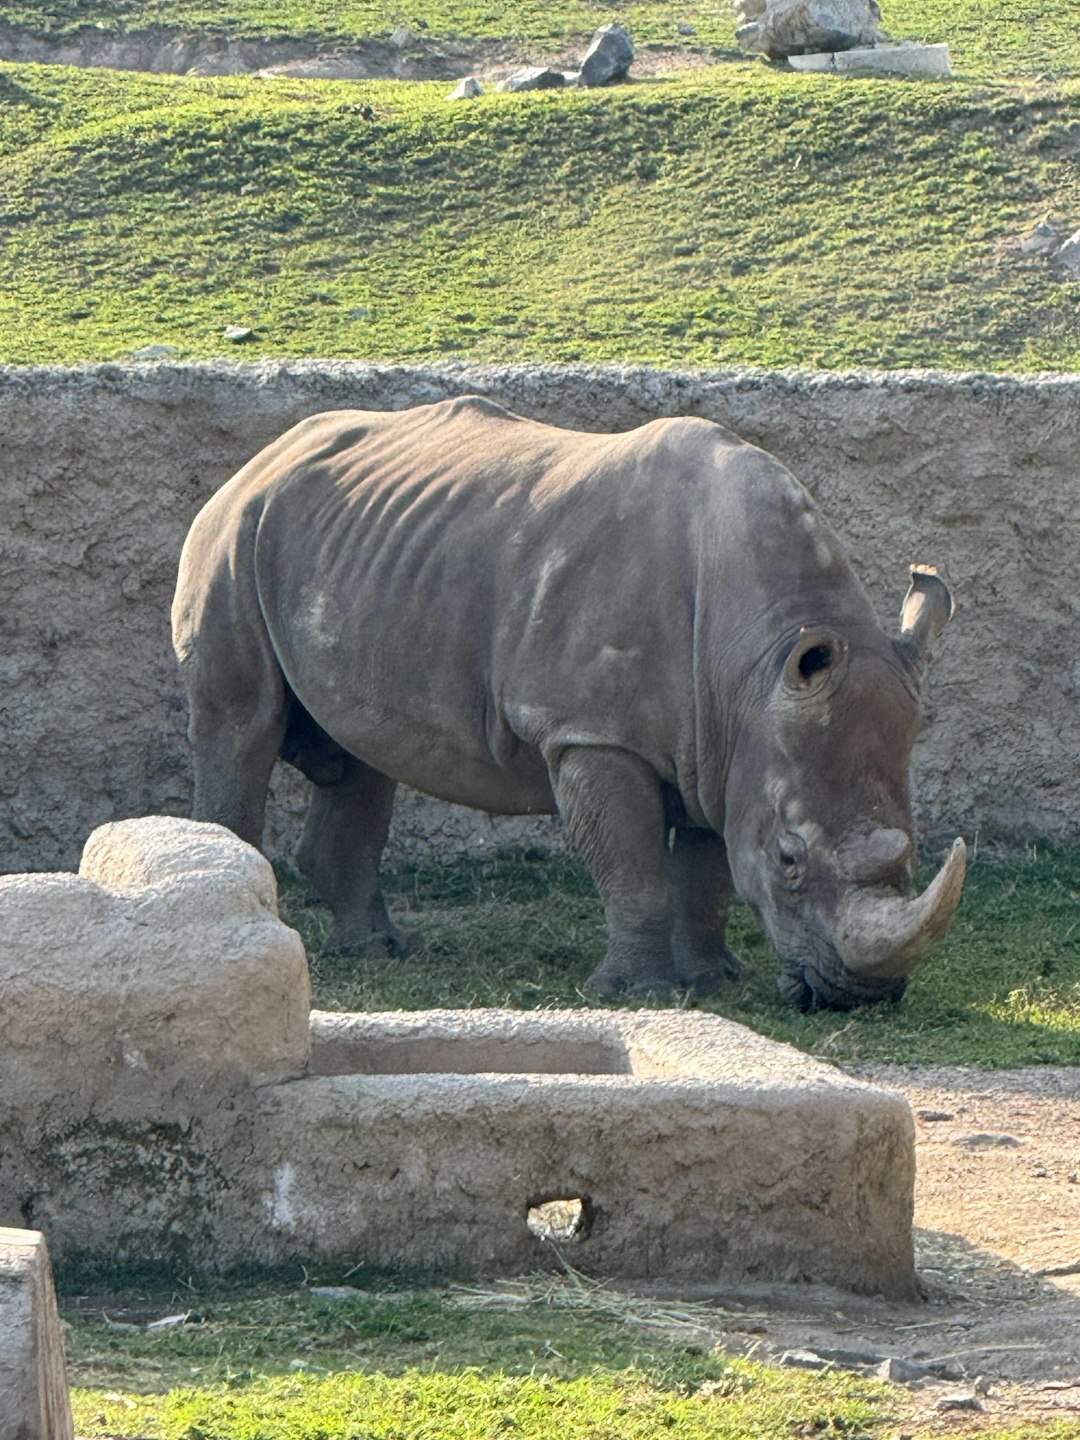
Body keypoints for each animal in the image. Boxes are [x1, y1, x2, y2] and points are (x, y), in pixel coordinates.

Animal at [172, 396, 966, 1010]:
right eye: (789, 857)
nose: (860, 996)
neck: (755, 663)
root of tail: (263, 456)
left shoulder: (722, 744)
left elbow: (707, 867)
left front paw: (712, 980)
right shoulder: (592, 731)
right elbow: (633, 863)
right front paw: (641, 992)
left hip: (358, 551)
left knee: (360, 750)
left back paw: (380, 949)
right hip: (233, 535)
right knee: (241, 724)